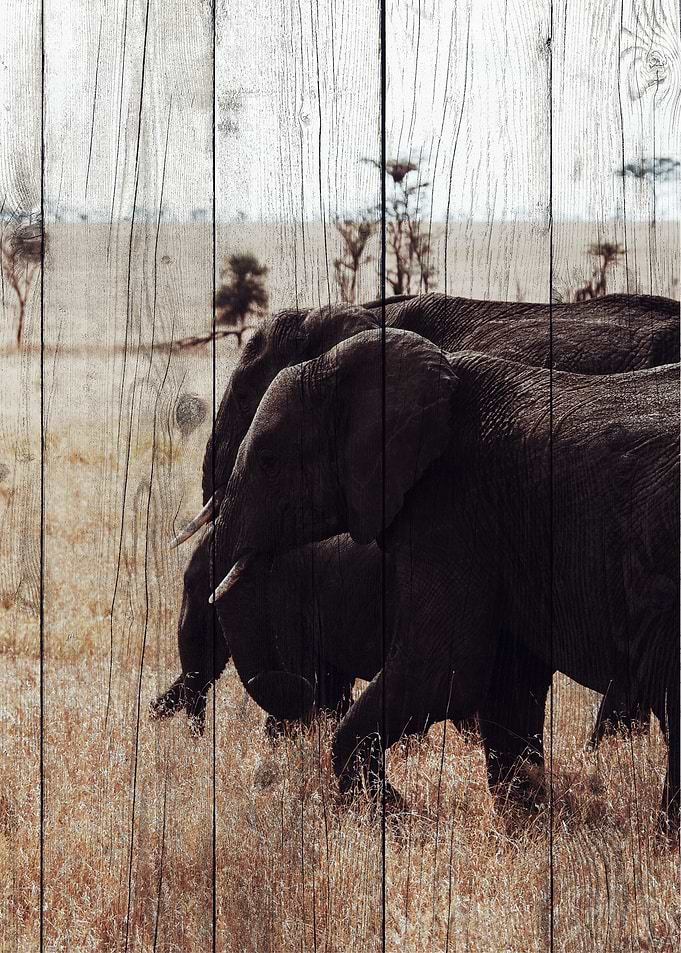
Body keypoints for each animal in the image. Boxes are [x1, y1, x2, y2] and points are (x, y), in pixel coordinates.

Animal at [210, 329, 679, 829]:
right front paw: (527, 825)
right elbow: (507, 684)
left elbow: (440, 672)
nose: (302, 688)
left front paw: (394, 815)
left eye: (268, 462)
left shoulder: (452, 510)